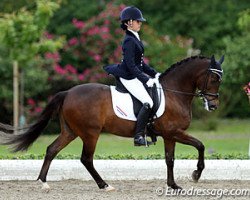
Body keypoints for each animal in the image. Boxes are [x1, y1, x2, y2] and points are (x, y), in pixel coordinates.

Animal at [0, 55, 223, 192]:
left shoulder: (170, 135)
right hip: (90, 133)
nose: (213, 105)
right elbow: (200, 145)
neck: (173, 93)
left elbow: (170, 159)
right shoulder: (174, 132)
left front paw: (173, 185)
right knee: (86, 159)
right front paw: (196, 174)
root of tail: (68, 93)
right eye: (214, 78)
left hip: (70, 132)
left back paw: (43, 183)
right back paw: (104, 185)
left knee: (51, 149)